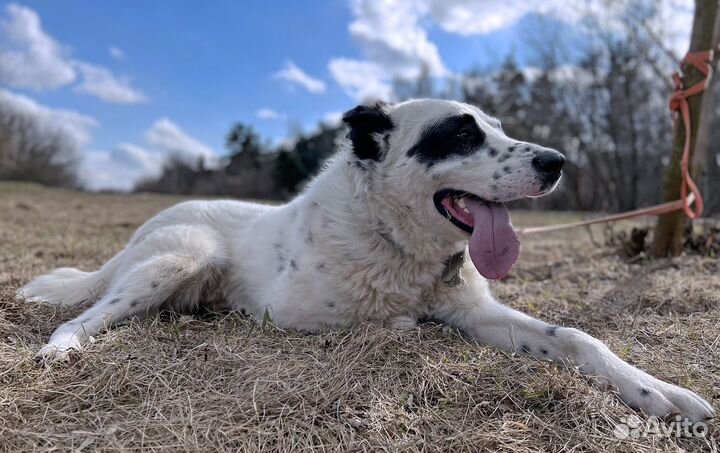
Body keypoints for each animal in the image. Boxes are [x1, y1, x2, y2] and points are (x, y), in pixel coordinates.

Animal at [18, 98, 716, 420]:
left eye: (496, 128)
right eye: (461, 133)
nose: (557, 161)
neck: (398, 242)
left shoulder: (478, 313)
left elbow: (574, 337)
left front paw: (661, 393)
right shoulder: (289, 314)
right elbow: (390, 323)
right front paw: (403, 324)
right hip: (175, 261)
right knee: (84, 314)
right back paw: (63, 349)